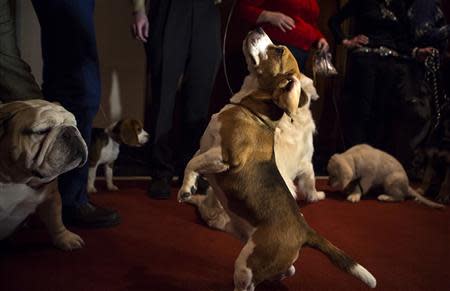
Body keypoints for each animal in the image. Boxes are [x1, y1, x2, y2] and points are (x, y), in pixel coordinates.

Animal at [0, 100, 87, 251]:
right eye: (42, 131)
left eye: (75, 124)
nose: (71, 130)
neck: (15, 179)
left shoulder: (51, 196)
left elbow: (56, 221)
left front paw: (66, 238)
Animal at [177, 29, 376, 291]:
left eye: (279, 50)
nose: (259, 29)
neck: (248, 106)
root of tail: (304, 230)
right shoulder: (205, 149)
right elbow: (192, 162)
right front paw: (187, 186)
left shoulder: (225, 155)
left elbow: (191, 163)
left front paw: (185, 190)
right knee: (288, 269)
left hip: (247, 263)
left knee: (250, 282)